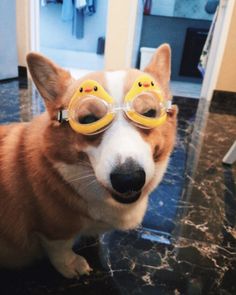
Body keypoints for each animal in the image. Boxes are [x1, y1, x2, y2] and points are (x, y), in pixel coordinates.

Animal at [0, 44, 177, 280]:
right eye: (88, 120)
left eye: (149, 113)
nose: (128, 179)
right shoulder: (53, 230)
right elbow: (60, 248)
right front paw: (70, 265)